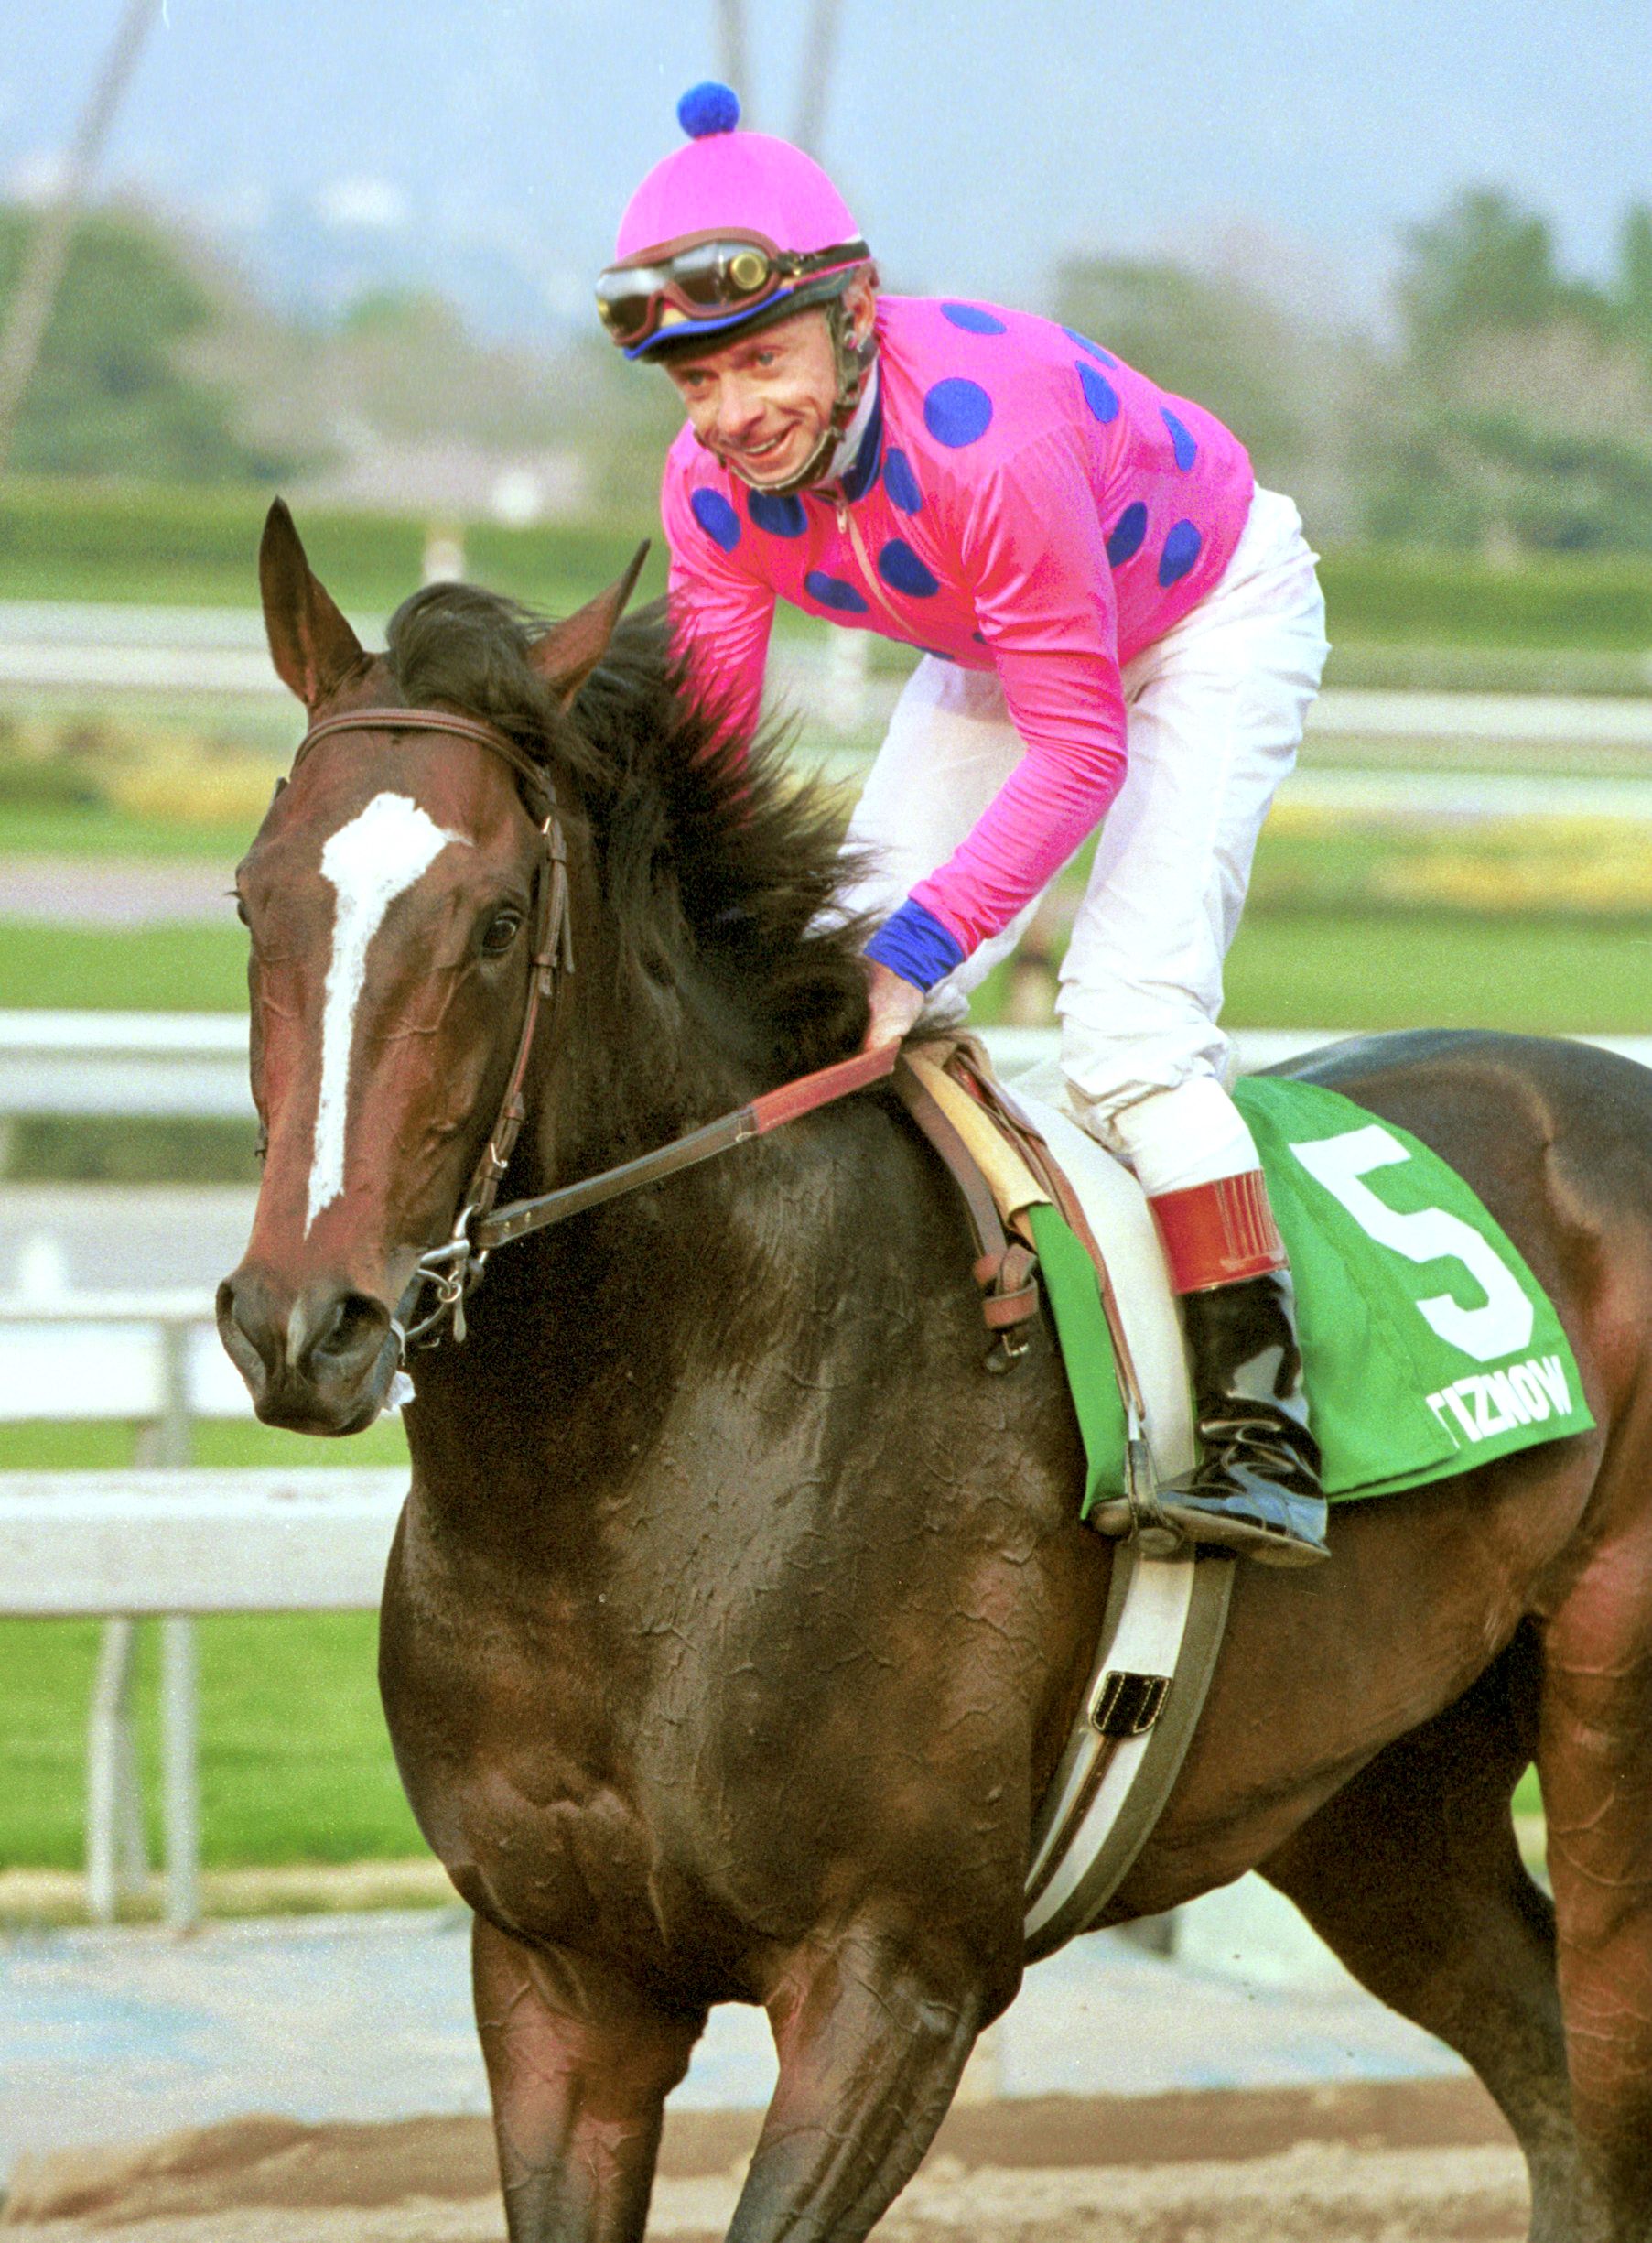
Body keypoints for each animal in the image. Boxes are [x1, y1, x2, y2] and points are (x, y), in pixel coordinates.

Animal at [221, 500, 1652, 2234]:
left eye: (496, 924)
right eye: (254, 900)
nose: (303, 1321)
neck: (647, 1465)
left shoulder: (897, 1970)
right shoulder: (557, 1974)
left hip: (1609, 1722)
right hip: (1376, 1785)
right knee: (1551, 2077)